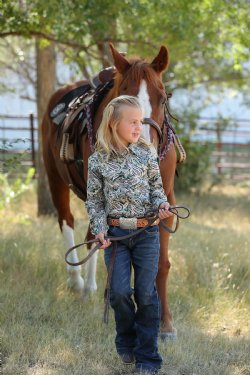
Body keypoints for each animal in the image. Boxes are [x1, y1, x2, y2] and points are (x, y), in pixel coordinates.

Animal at [41, 42, 178, 340]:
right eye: (124, 96)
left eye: (162, 98)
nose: (142, 143)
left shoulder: (166, 200)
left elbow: (161, 263)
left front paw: (165, 325)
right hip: (55, 179)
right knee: (68, 222)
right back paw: (78, 282)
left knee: (93, 235)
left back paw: (92, 286)